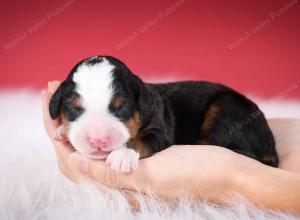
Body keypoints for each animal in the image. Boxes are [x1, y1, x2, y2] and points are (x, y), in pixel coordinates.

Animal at [49, 55, 278, 173]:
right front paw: (61, 130)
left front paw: (123, 155)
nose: (98, 141)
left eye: (121, 106)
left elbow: (140, 140)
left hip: (227, 108)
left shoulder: (160, 130)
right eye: (74, 107)